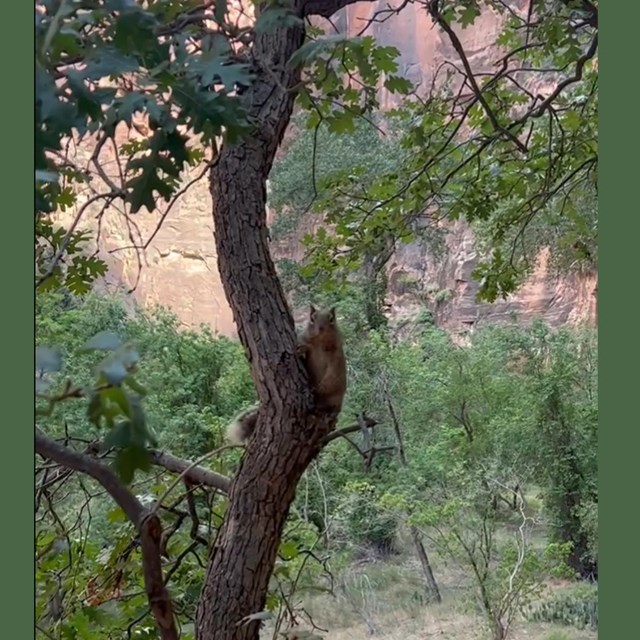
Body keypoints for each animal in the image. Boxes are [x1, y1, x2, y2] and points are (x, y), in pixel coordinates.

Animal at [226, 305, 347, 445]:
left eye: (332, 319)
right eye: (312, 318)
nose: (321, 329)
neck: (320, 344)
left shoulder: (337, 361)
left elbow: (332, 378)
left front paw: (316, 390)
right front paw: (300, 351)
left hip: (335, 402)